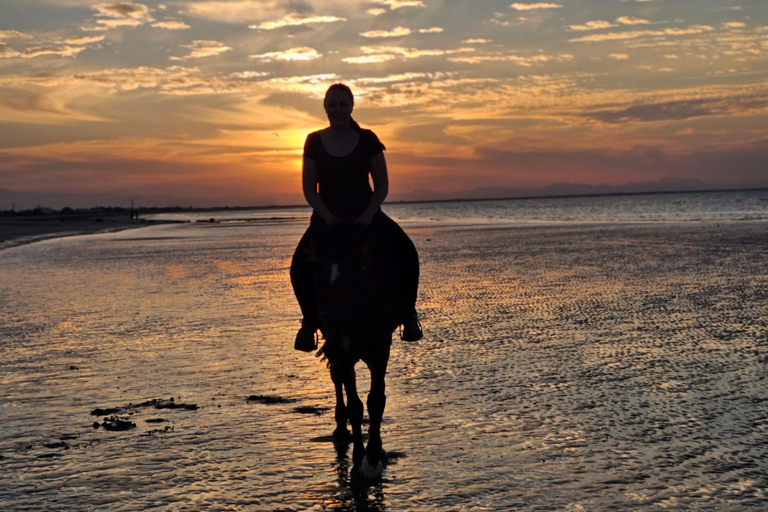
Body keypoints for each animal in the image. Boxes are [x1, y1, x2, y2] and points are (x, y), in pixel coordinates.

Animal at [312, 222, 402, 482]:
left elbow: (376, 400)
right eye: (318, 280)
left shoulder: (381, 349)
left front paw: (373, 457)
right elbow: (354, 404)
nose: (332, 347)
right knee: (337, 381)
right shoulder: (344, 355)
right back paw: (341, 429)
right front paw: (359, 461)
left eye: (357, 280)